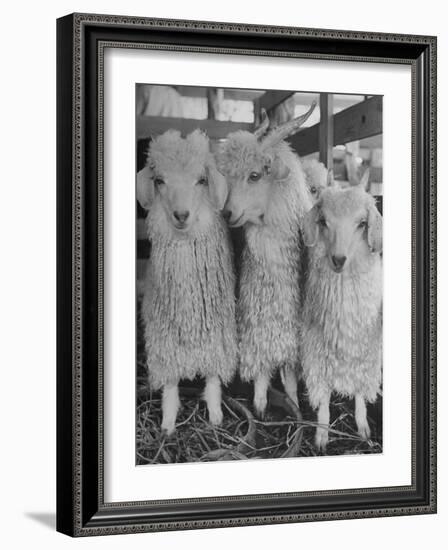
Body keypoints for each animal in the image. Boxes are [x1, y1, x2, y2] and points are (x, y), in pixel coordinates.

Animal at [137, 128, 238, 436]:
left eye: (201, 180)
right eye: (159, 180)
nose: (181, 216)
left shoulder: (218, 334)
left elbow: (214, 377)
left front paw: (216, 416)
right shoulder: (163, 338)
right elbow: (170, 384)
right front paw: (168, 423)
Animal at [300, 172, 382, 452]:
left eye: (362, 223)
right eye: (323, 221)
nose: (338, 259)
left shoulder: (365, 353)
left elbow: (359, 392)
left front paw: (363, 428)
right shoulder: (316, 354)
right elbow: (323, 398)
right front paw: (322, 436)